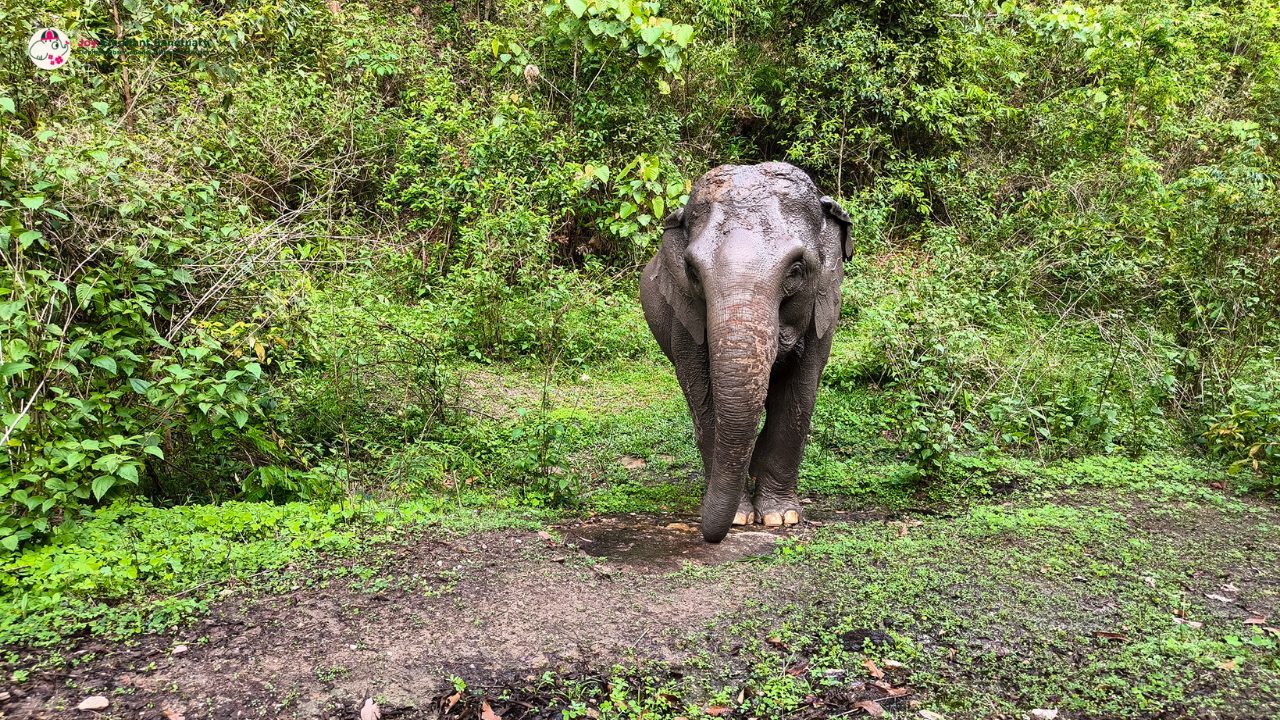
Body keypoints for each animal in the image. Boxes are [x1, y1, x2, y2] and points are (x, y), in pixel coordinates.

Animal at [637, 162, 849, 540]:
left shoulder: (822, 317)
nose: (709, 536)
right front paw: (739, 517)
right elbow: (701, 397)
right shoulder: (684, 319)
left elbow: (799, 394)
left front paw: (781, 517)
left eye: (796, 271)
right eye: (692, 272)